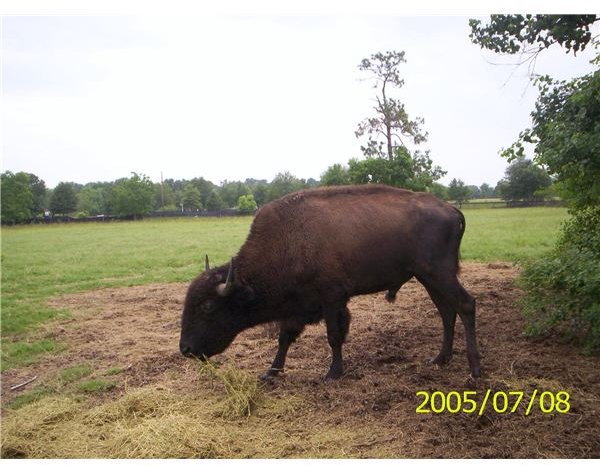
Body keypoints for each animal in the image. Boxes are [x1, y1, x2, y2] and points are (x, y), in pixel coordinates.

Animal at [179, 184, 482, 380]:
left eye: (207, 307)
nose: (186, 349)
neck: (288, 242)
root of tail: (452, 210)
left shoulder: (332, 298)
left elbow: (334, 335)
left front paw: (333, 373)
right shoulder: (297, 307)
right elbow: (284, 338)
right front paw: (271, 372)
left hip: (439, 274)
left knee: (466, 305)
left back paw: (475, 369)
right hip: (428, 278)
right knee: (447, 311)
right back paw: (440, 359)